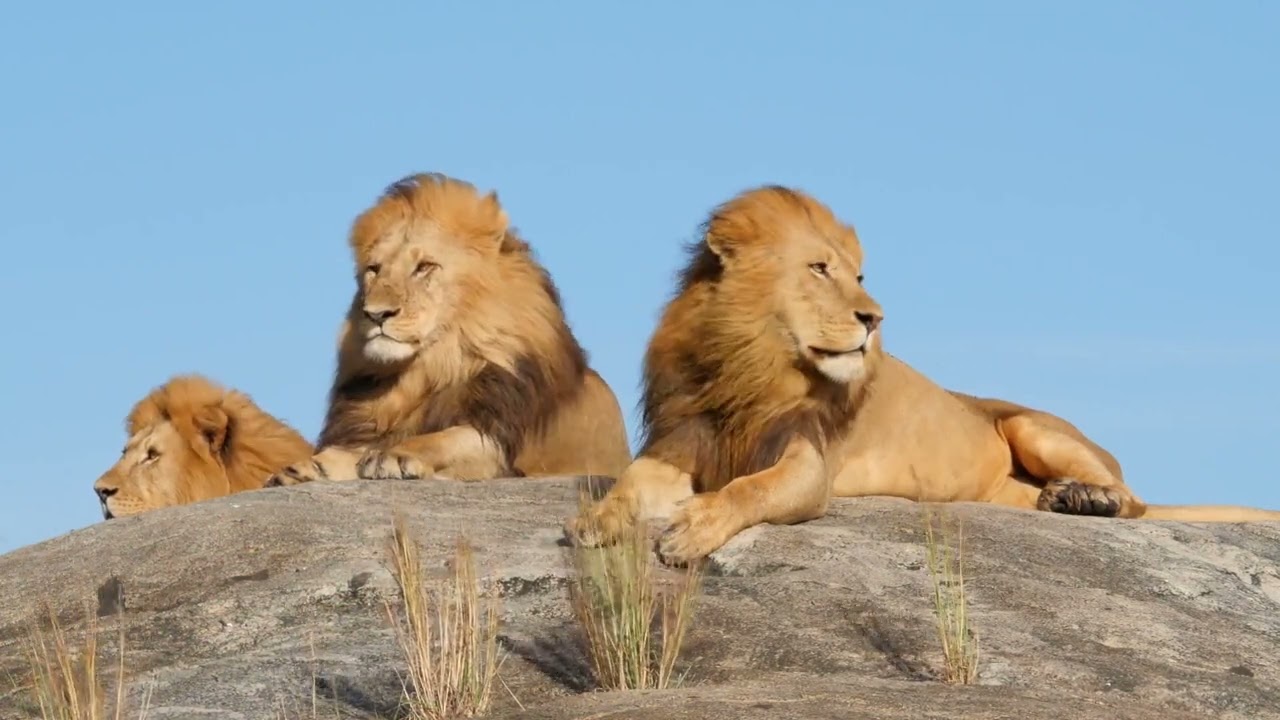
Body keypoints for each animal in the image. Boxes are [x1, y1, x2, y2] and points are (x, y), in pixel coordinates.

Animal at [266, 172, 631, 488]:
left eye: (424, 267)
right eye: (374, 270)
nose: (375, 314)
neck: (429, 369)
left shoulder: (496, 441)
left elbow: (444, 439)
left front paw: (394, 455)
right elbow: (347, 451)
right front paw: (306, 468)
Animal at [567, 185, 1280, 566]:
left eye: (859, 273)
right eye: (819, 268)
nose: (874, 317)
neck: (753, 359)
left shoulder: (808, 465)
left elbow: (752, 490)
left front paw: (693, 529)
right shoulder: (684, 440)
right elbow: (631, 483)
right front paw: (596, 520)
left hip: (1034, 427)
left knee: (1136, 501)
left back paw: (1088, 499)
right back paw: (1059, 501)